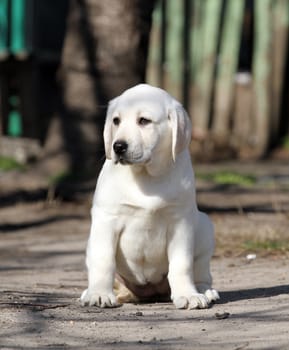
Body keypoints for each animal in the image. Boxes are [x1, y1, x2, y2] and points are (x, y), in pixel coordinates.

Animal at [80, 83, 218, 308]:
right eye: (116, 121)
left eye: (144, 121)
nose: (118, 146)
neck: (145, 176)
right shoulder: (107, 220)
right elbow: (104, 260)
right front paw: (99, 293)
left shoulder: (180, 222)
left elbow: (182, 263)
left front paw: (187, 294)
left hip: (205, 226)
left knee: (201, 272)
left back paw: (204, 290)